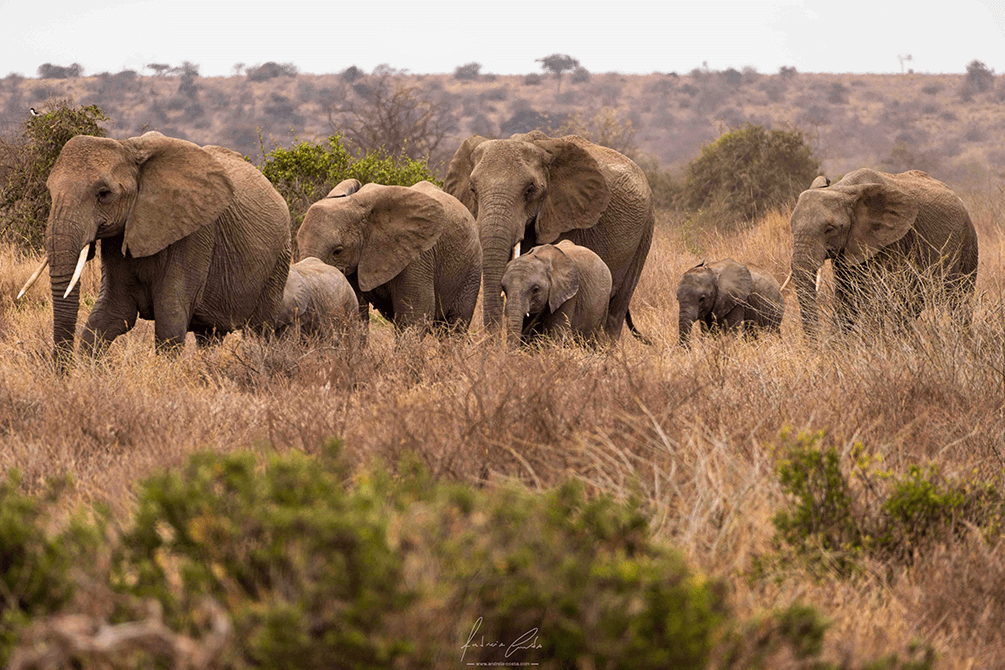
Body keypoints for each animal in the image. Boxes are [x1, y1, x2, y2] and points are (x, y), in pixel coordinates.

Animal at [18, 132, 291, 361]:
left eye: (103, 194)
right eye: (50, 192)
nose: (60, 369)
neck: (130, 149)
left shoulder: (195, 234)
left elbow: (170, 320)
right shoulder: (120, 237)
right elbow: (110, 313)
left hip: (279, 258)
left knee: (260, 329)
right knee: (208, 335)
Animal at [293, 180, 482, 333]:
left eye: (338, 251)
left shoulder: (417, 256)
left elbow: (415, 314)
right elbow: (358, 314)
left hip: (470, 272)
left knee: (454, 327)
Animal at [446, 129, 651, 341]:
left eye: (530, 190)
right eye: (472, 190)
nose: (492, 342)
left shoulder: (567, 215)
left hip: (645, 232)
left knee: (618, 306)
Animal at [787, 167, 976, 335]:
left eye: (829, 229)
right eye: (792, 229)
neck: (843, 190)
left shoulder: (891, 241)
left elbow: (880, 295)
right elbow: (845, 296)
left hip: (968, 242)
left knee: (959, 301)